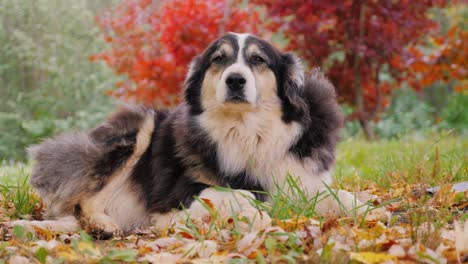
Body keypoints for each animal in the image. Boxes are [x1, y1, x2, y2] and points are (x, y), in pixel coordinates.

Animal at [8, 33, 380, 239]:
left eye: (258, 60)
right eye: (219, 59)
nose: (235, 80)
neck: (248, 129)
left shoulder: (301, 176)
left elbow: (339, 193)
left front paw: (369, 209)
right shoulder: (172, 193)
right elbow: (239, 194)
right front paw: (255, 214)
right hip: (137, 127)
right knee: (83, 202)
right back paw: (102, 225)